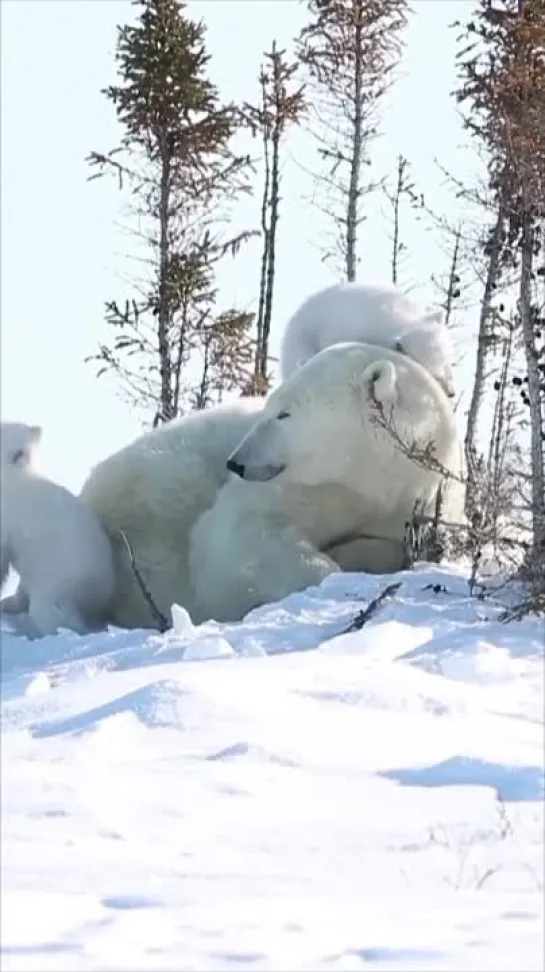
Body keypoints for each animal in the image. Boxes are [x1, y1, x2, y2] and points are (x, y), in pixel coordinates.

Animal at [78, 344, 456, 632]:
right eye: (269, 406)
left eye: (284, 414)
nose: (236, 462)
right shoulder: (301, 487)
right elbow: (239, 536)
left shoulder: (409, 502)